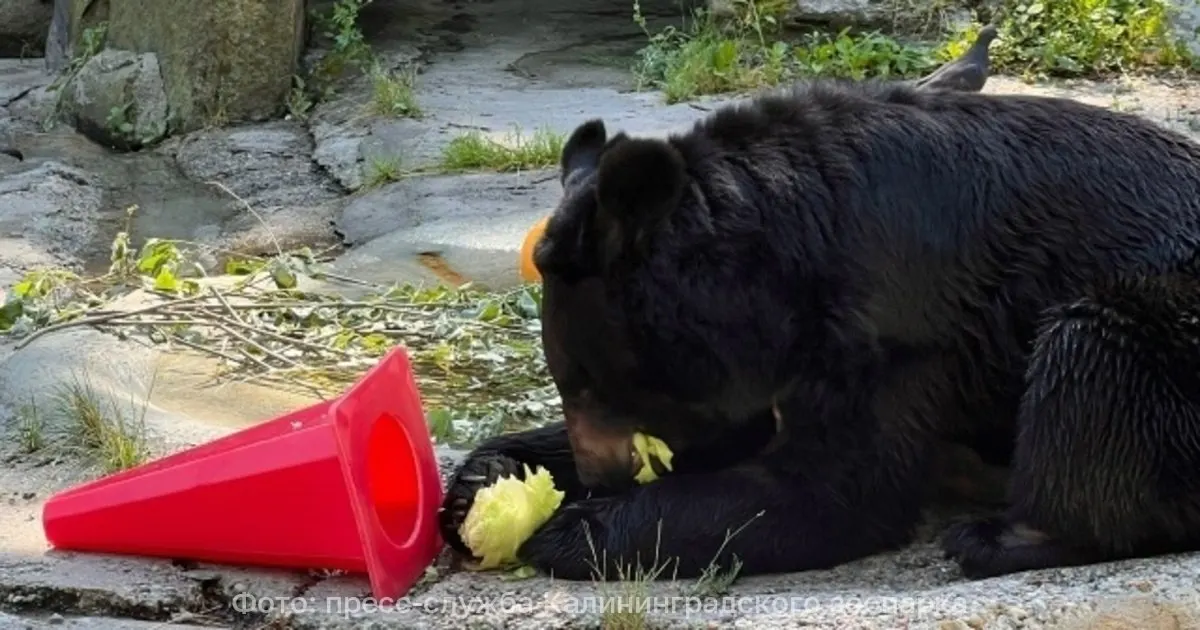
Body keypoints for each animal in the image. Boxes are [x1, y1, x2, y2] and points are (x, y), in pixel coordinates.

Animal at [438, 78, 1200, 582]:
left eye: (589, 382)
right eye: (570, 383)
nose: (604, 476)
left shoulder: (895, 324)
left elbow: (835, 487)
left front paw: (570, 528)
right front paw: (488, 480)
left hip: (1165, 327)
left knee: (1091, 353)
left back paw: (998, 535)